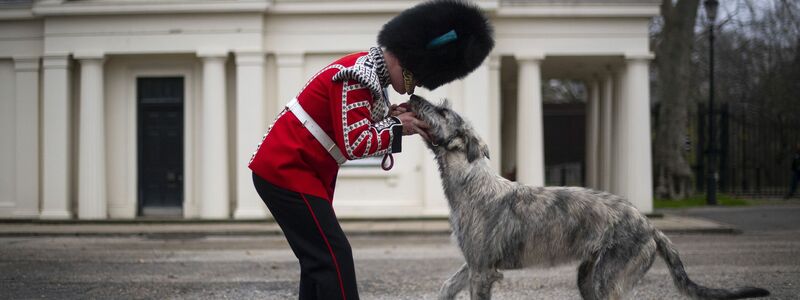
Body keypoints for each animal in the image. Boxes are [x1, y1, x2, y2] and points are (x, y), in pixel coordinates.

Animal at [406, 95, 768, 300]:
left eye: (441, 111)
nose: (413, 95)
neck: (473, 182)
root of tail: (651, 227)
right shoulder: (474, 265)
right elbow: (446, 287)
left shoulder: (483, 270)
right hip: (588, 278)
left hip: (610, 280)